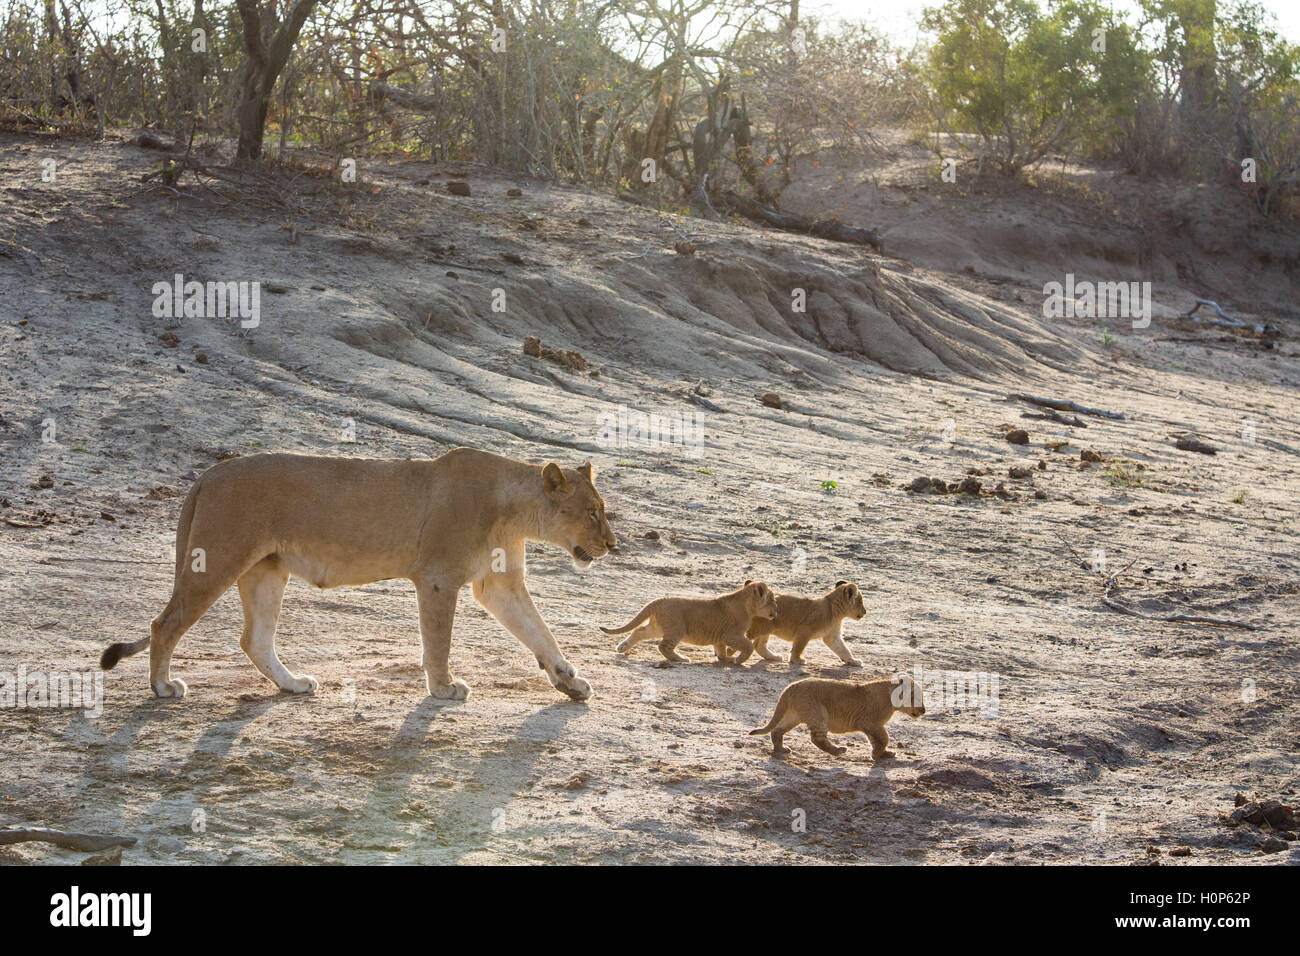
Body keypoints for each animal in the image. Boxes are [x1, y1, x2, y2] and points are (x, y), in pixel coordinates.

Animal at [98, 448, 616, 701]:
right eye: (591, 512)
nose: (612, 545)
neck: (514, 510)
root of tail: (207, 474)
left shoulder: (499, 586)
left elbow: (541, 633)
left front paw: (570, 681)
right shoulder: (437, 577)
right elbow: (439, 641)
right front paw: (443, 687)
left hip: (266, 570)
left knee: (255, 640)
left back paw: (292, 685)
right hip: (217, 559)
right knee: (163, 624)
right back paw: (163, 687)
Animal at [601, 581, 778, 664]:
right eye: (772, 599)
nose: (777, 612)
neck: (747, 604)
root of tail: (658, 601)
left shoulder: (721, 635)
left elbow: (720, 649)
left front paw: (725, 659)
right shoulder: (731, 634)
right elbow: (748, 646)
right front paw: (739, 659)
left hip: (657, 627)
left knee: (638, 631)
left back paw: (622, 647)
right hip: (676, 629)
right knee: (663, 647)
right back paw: (682, 659)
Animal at [749, 674, 926, 758]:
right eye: (916, 697)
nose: (924, 710)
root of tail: (790, 686)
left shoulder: (871, 725)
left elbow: (877, 740)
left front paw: (884, 754)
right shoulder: (869, 722)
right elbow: (883, 738)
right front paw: (877, 755)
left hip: (794, 715)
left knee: (777, 730)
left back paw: (781, 749)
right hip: (818, 713)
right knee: (816, 738)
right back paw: (838, 750)